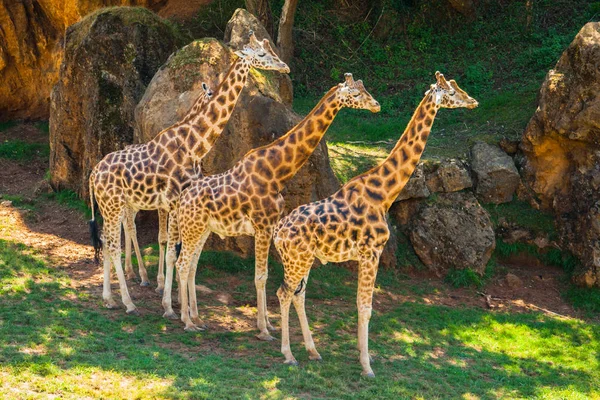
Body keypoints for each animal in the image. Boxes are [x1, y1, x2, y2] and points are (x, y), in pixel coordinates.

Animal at [87, 32, 290, 314]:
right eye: (261, 54)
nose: (284, 66)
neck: (194, 144)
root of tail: (93, 175)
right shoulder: (174, 202)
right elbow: (173, 250)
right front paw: (171, 305)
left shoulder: (182, 203)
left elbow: (179, 251)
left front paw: (177, 302)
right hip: (115, 205)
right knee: (115, 244)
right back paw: (128, 301)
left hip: (113, 206)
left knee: (107, 241)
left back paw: (109, 298)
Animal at [163, 72, 380, 338]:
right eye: (356, 94)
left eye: (365, 89)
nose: (376, 105)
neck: (277, 171)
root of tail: (183, 197)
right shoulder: (263, 226)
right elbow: (261, 276)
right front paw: (264, 329)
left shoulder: (269, 226)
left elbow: (263, 276)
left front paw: (269, 324)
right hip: (192, 228)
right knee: (182, 263)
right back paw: (186, 320)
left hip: (201, 229)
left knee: (190, 264)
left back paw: (195, 316)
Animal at [274, 72, 478, 378]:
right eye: (453, 92)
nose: (473, 101)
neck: (384, 193)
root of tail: (277, 233)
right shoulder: (372, 252)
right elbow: (365, 306)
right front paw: (367, 366)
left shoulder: (365, 254)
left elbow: (363, 305)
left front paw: (364, 357)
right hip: (296, 258)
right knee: (284, 293)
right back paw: (289, 355)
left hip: (304, 259)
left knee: (299, 294)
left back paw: (313, 352)